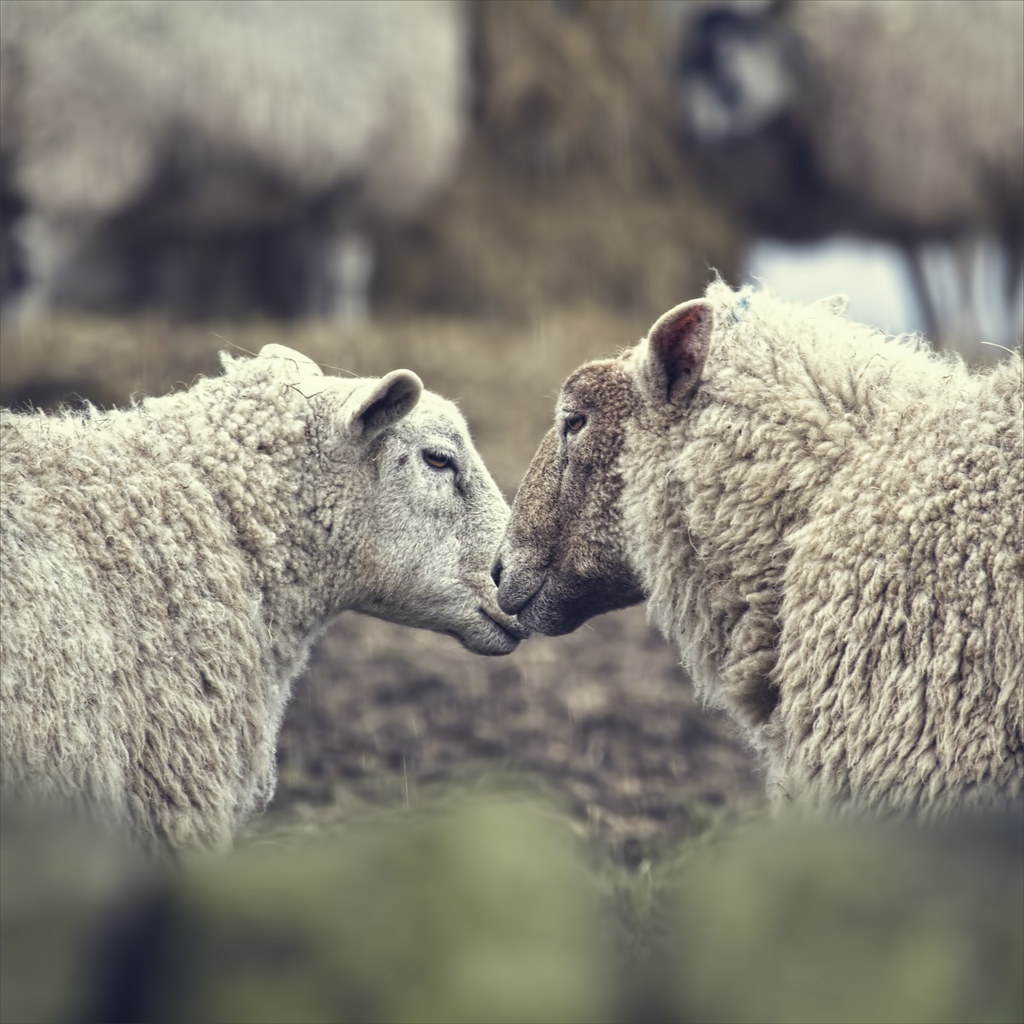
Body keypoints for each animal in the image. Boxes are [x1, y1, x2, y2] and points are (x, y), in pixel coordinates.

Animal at [0, 0, 467, 322]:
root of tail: (25, 25)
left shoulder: (322, 186)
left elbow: (314, 268)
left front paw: (316, 326)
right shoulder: (365, 171)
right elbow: (345, 271)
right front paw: (345, 327)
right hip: (82, 133)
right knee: (31, 249)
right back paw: (28, 327)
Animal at [670, 0, 1024, 356]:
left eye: (727, 71)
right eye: (684, 69)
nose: (690, 139)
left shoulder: (958, 195)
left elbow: (965, 297)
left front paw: (966, 349)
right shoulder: (904, 211)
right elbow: (925, 299)